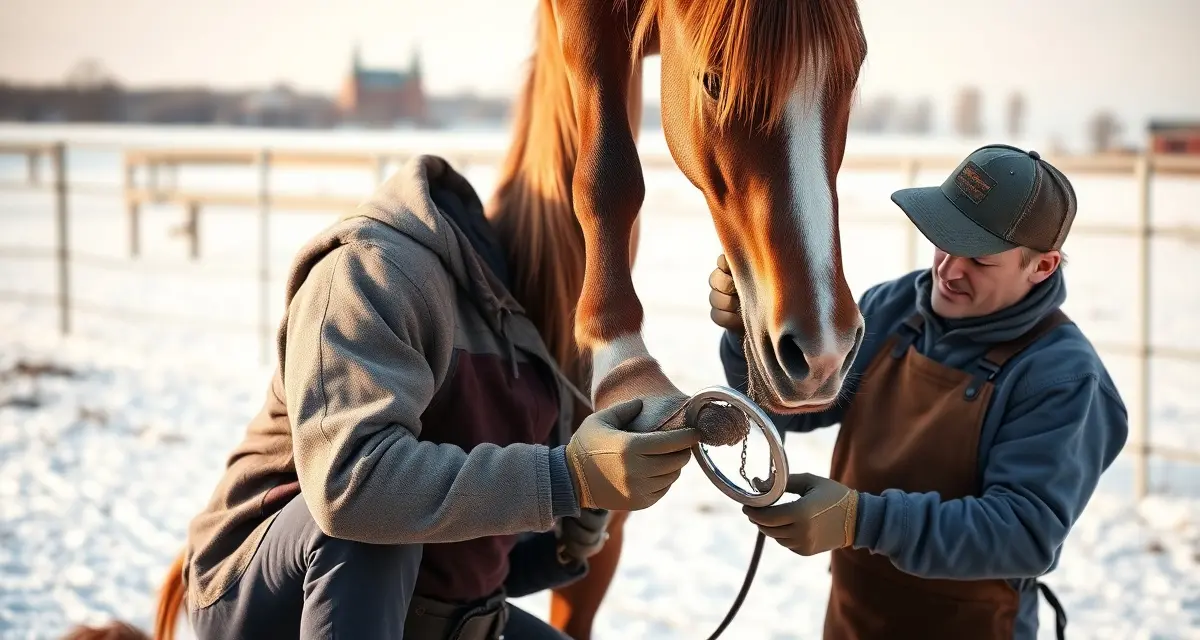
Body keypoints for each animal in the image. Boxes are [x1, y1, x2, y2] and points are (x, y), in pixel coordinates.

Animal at [62, 0, 867, 638]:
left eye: (855, 69)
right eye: (713, 79)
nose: (822, 350)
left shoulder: (595, 556)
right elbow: (608, 169)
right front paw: (627, 362)